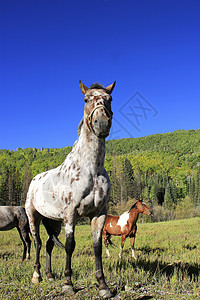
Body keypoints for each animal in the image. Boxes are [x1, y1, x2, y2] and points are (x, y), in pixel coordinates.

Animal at [25, 79, 115, 298]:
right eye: (86, 99)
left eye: (109, 98)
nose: (102, 123)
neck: (91, 169)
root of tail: (34, 180)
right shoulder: (71, 213)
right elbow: (69, 246)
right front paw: (68, 283)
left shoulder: (99, 213)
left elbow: (97, 246)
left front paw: (103, 285)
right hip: (33, 217)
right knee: (38, 243)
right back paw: (37, 276)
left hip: (53, 221)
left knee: (49, 245)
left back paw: (49, 275)